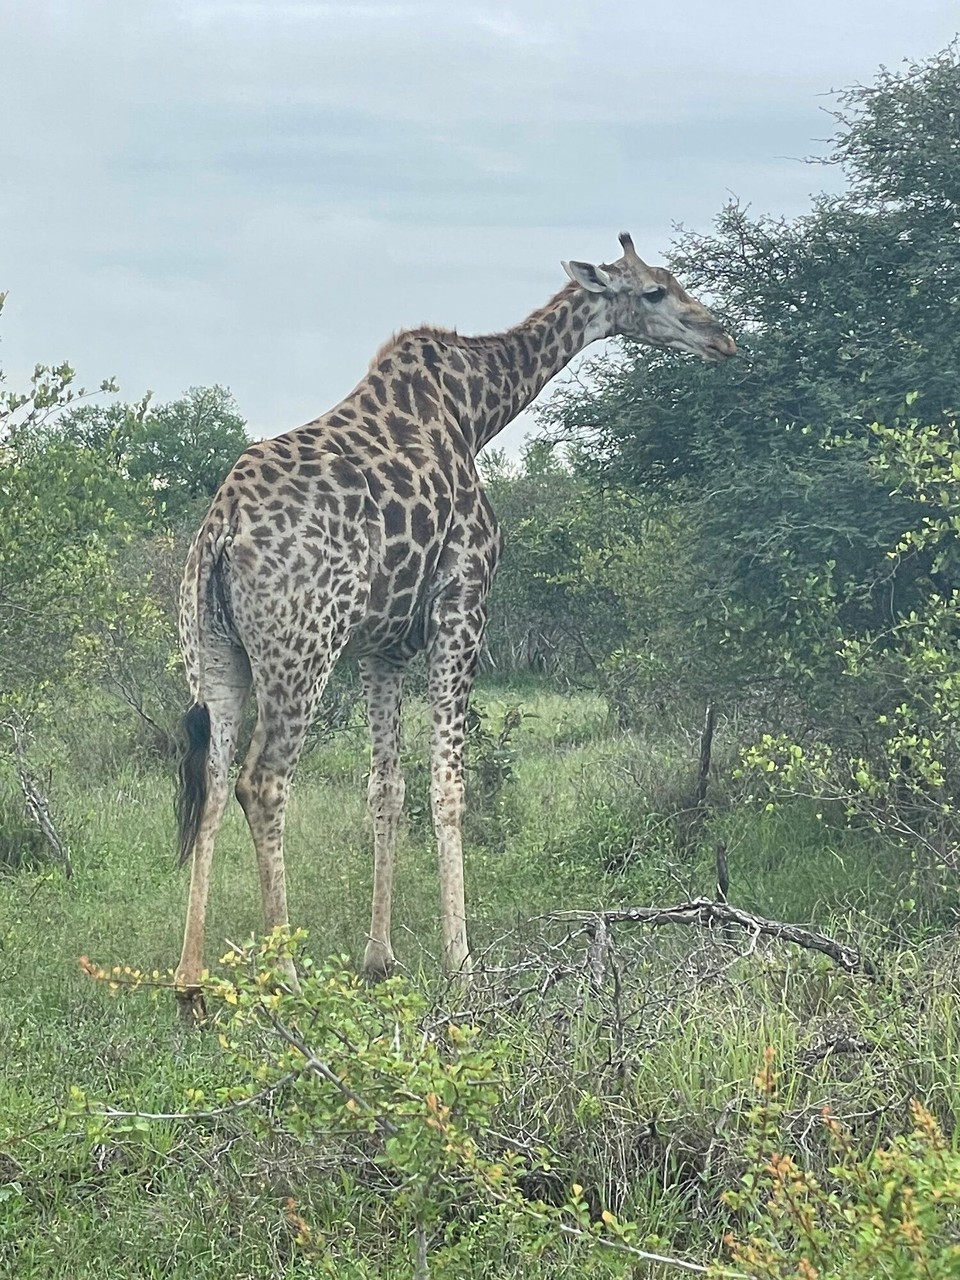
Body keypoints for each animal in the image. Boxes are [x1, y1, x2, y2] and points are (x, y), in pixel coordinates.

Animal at [172, 230, 737, 1008]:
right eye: (654, 290)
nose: (722, 337)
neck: (476, 407)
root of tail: (220, 532)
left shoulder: (380, 646)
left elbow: (385, 788)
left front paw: (378, 958)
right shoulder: (463, 605)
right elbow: (448, 787)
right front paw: (461, 965)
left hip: (213, 653)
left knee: (214, 777)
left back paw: (190, 983)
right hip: (302, 648)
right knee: (263, 781)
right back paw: (286, 975)